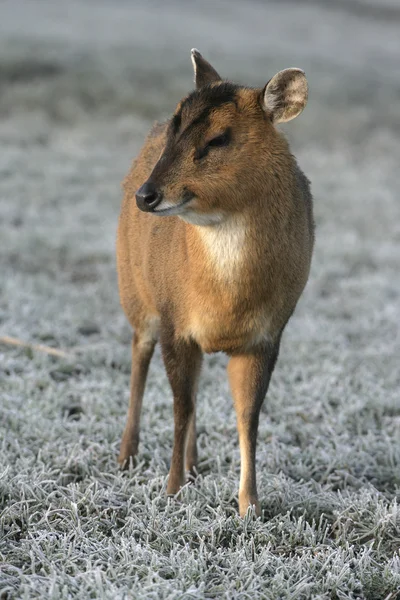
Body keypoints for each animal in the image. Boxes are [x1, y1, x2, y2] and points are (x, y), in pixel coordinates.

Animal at [117, 50, 314, 516]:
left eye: (220, 138)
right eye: (175, 126)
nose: (146, 195)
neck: (226, 299)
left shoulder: (267, 335)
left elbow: (248, 417)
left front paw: (250, 506)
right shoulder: (174, 321)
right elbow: (180, 406)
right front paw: (171, 491)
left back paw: (194, 465)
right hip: (134, 292)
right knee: (139, 357)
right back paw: (127, 456)